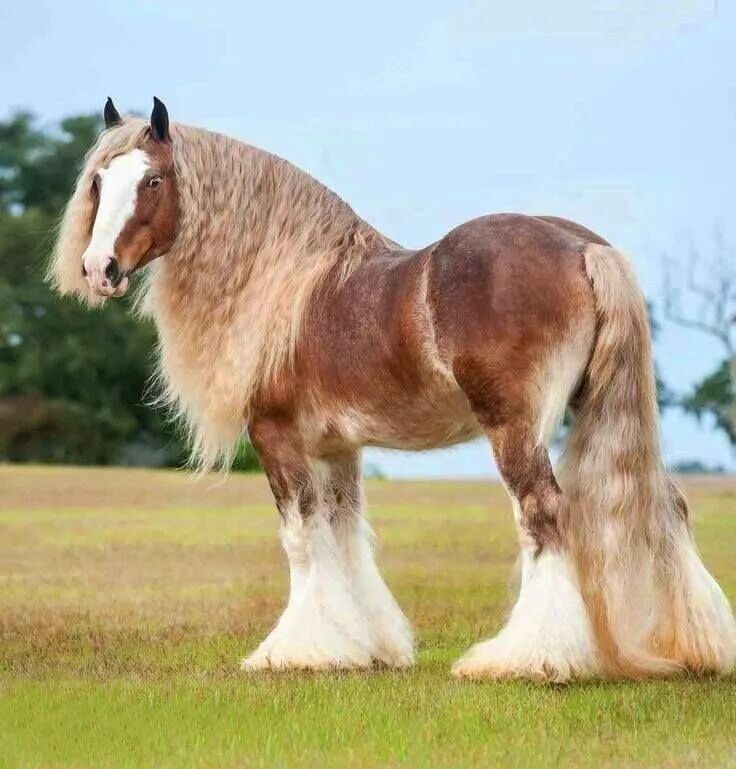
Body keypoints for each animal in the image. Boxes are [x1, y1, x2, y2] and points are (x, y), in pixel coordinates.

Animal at [49, 96, 732, 680]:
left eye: (152, 182)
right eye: (99, 181)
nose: (99, 269)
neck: (290, 280)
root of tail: (581, 247)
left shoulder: (276, 438)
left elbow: (301, 539)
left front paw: (295, 651)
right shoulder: (336, 450)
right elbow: (345, 537)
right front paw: (367, 646)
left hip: (515, 427)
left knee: (542, 513)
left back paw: (528, 658)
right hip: (606, 410)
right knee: (666, 504)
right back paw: (697, 647)